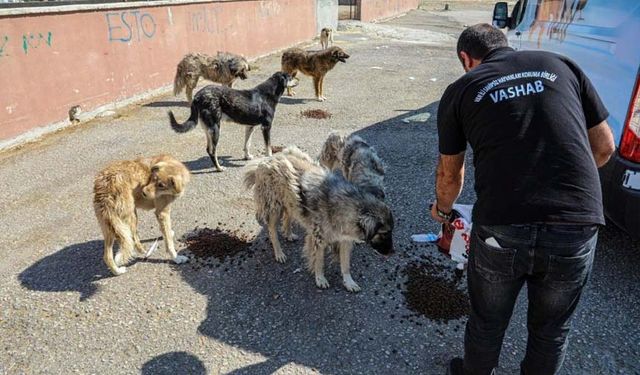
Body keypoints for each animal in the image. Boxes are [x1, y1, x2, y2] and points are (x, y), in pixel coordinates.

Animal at [168, 71, 298, 171]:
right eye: (290, 77)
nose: (298, 80)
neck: (268, 94)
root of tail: (197, 96)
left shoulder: (250, 126)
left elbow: (247, 144)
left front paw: (247, 156)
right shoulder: (266, 126)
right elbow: (268, 147)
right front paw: (269, 159)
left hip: (208, 129)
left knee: (208, 149)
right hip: (216, 129)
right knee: (212, 151)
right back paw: (219, 168)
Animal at [245, 148, 396, 294]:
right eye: (383, 233)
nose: (392, 252)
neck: (348, 206)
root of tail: (268, 159)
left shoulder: (345, 240)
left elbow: (345, 264)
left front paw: (349, 282)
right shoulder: (318, 239)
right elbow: (319, 261)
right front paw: (320, 279)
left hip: (290, 201)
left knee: (288, 215)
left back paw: (288, 234)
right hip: (274, 206)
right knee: (272, 230)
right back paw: (279, 253)